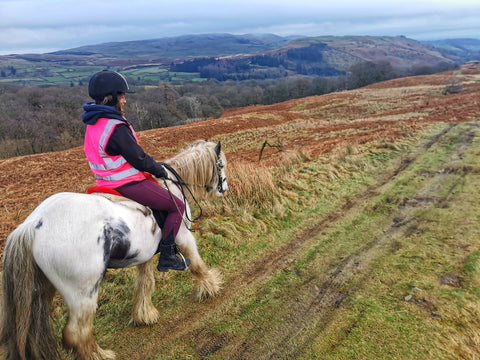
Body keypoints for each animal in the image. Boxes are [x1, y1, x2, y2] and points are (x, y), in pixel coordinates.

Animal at [0, 140, 229, 360]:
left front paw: (143, 315)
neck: (172, 185)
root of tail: (33, 224)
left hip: (41, 292)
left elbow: (145, 283)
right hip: (83, 291)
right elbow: (197, 265)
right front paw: (211, 287)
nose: (225, 189)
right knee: (76, 332)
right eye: (221, 165)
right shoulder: (182, 236)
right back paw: (98, 355)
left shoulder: (145, 254)